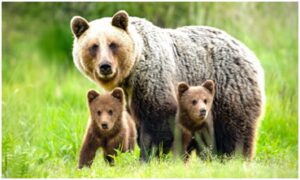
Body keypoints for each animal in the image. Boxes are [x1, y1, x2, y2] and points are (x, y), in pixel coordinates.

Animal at [70, 10, 264, 161]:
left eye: (113, 44)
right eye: (93, 46)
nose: (105, 66)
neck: (131, 73)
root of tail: (247, 50)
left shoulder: (152, 79)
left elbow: (157, 120)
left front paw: (148, 157)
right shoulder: (129, 96)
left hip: (228, 86)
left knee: (235, 128)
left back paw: (236, 158)